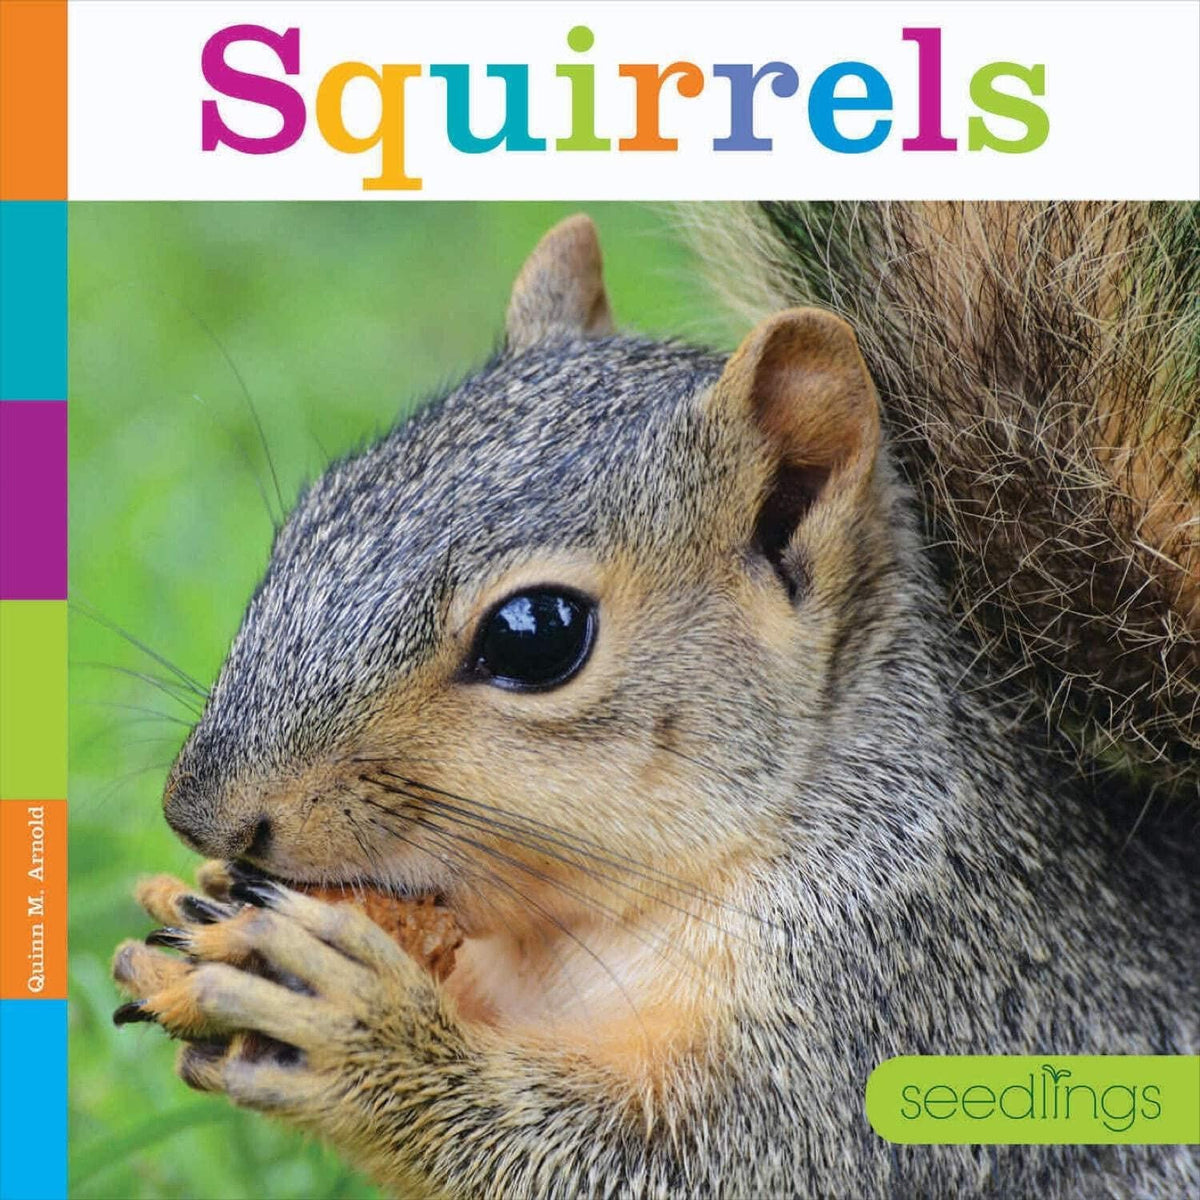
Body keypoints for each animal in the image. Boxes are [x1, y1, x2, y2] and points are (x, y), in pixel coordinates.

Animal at [111, 206, 1198, 1198]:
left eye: (539, 634)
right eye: (312, 514)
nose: (199, 811)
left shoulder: (910, 1007)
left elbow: (698, 1167)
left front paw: (362, 1028)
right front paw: (193, 907)